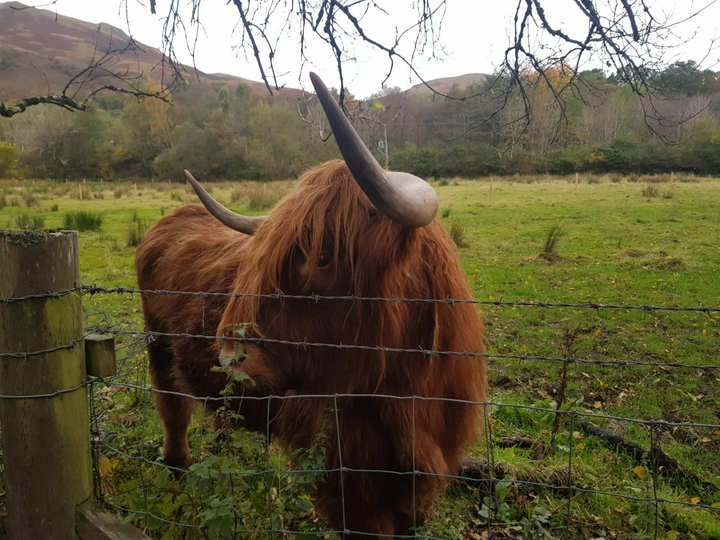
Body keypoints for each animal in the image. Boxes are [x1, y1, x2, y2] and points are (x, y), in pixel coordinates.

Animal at [135, 73, 487, 539]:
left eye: (322, 257)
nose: (229, 357)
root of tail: (172, 218)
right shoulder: (348, 482)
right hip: (158, 350)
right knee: (173, 414)